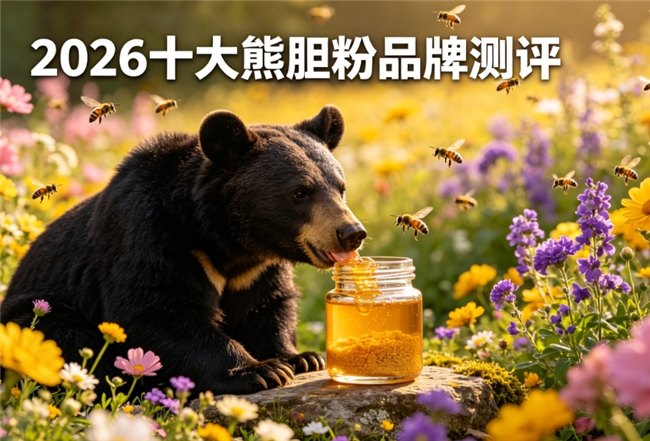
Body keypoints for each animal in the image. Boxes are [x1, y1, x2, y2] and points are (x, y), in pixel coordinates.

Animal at [1, 105, 367, 395]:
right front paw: (261, 371)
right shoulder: (151, 235)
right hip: (36, 311)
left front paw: (302, 357)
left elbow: (267, 304)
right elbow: (158, 310)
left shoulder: (256, 269)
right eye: (300, 192)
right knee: (63, 335)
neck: (223, 239)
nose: (352, 233)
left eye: (340, 188)